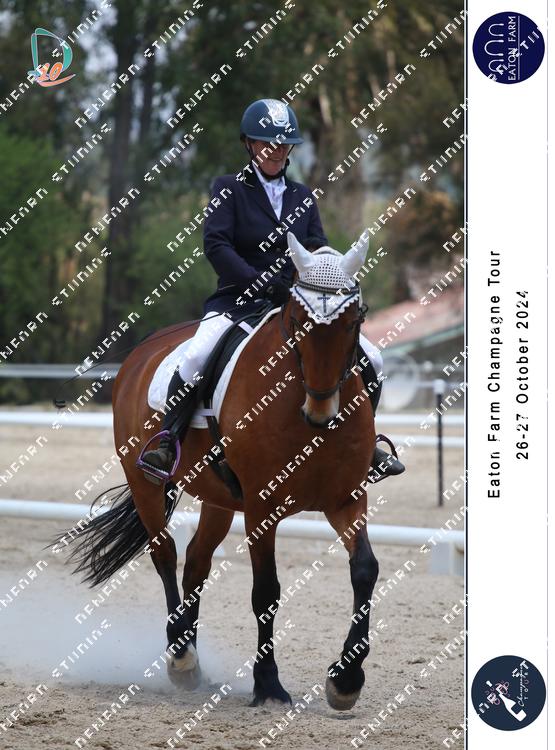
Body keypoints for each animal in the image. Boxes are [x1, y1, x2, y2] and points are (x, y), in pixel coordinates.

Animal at [65, 231, 381, 711]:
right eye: (297, 320)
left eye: (353, 321)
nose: (321, 412)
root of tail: (142, 351)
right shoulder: (262, 507)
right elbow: (266, 592)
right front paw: (268, 684)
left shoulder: (346, 497)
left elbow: (364, 570)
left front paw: (345, 681)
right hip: (146, 484)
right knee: (165, 555)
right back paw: (181, 659)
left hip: (218, 498)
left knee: (196, 562)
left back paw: (193, 663)